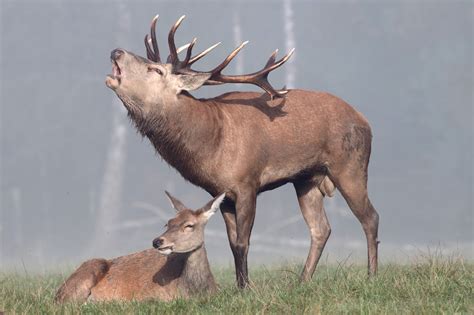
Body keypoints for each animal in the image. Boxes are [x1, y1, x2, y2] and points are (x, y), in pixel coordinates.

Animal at [105, 16, 380, 290]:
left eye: (156, 70)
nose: (116, 51)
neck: (210, 145)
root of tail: (365, 120)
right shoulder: (222, 193)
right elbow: (231, 242)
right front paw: (240, 286)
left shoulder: (247, 182)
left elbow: (242, 242)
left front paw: (246, 288)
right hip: (306, 179)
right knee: (321, 229)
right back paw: (302, 281)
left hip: (350, 165)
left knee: (370, 217)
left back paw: (371, 276)